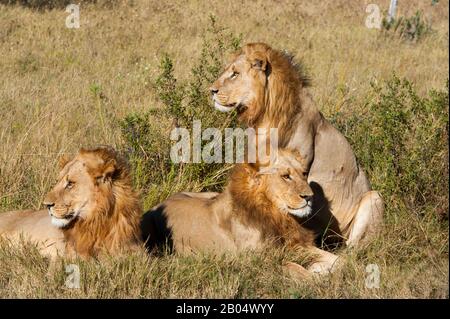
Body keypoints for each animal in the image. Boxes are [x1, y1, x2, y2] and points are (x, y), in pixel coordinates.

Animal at [142, 150, 340, 278]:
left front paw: (325, 268)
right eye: (286, 176)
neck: (277, 215)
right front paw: (316, 276)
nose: (309, 197)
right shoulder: (252, 261)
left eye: (304, 174)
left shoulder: (296, 244)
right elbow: (293, 267)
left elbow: (339, 260)